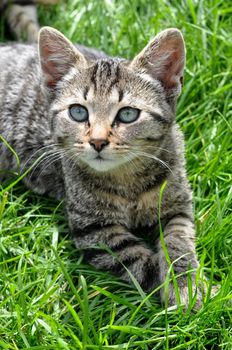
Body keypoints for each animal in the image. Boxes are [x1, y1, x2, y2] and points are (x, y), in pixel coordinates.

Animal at [0, 26, 202, 308]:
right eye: (78, 112)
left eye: (127, 114)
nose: (97, 141)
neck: (127, 179)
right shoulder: (94, 230)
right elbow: (137, 261)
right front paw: (173, 289)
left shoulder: (178, 206)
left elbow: (179, 243)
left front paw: (185, 284)